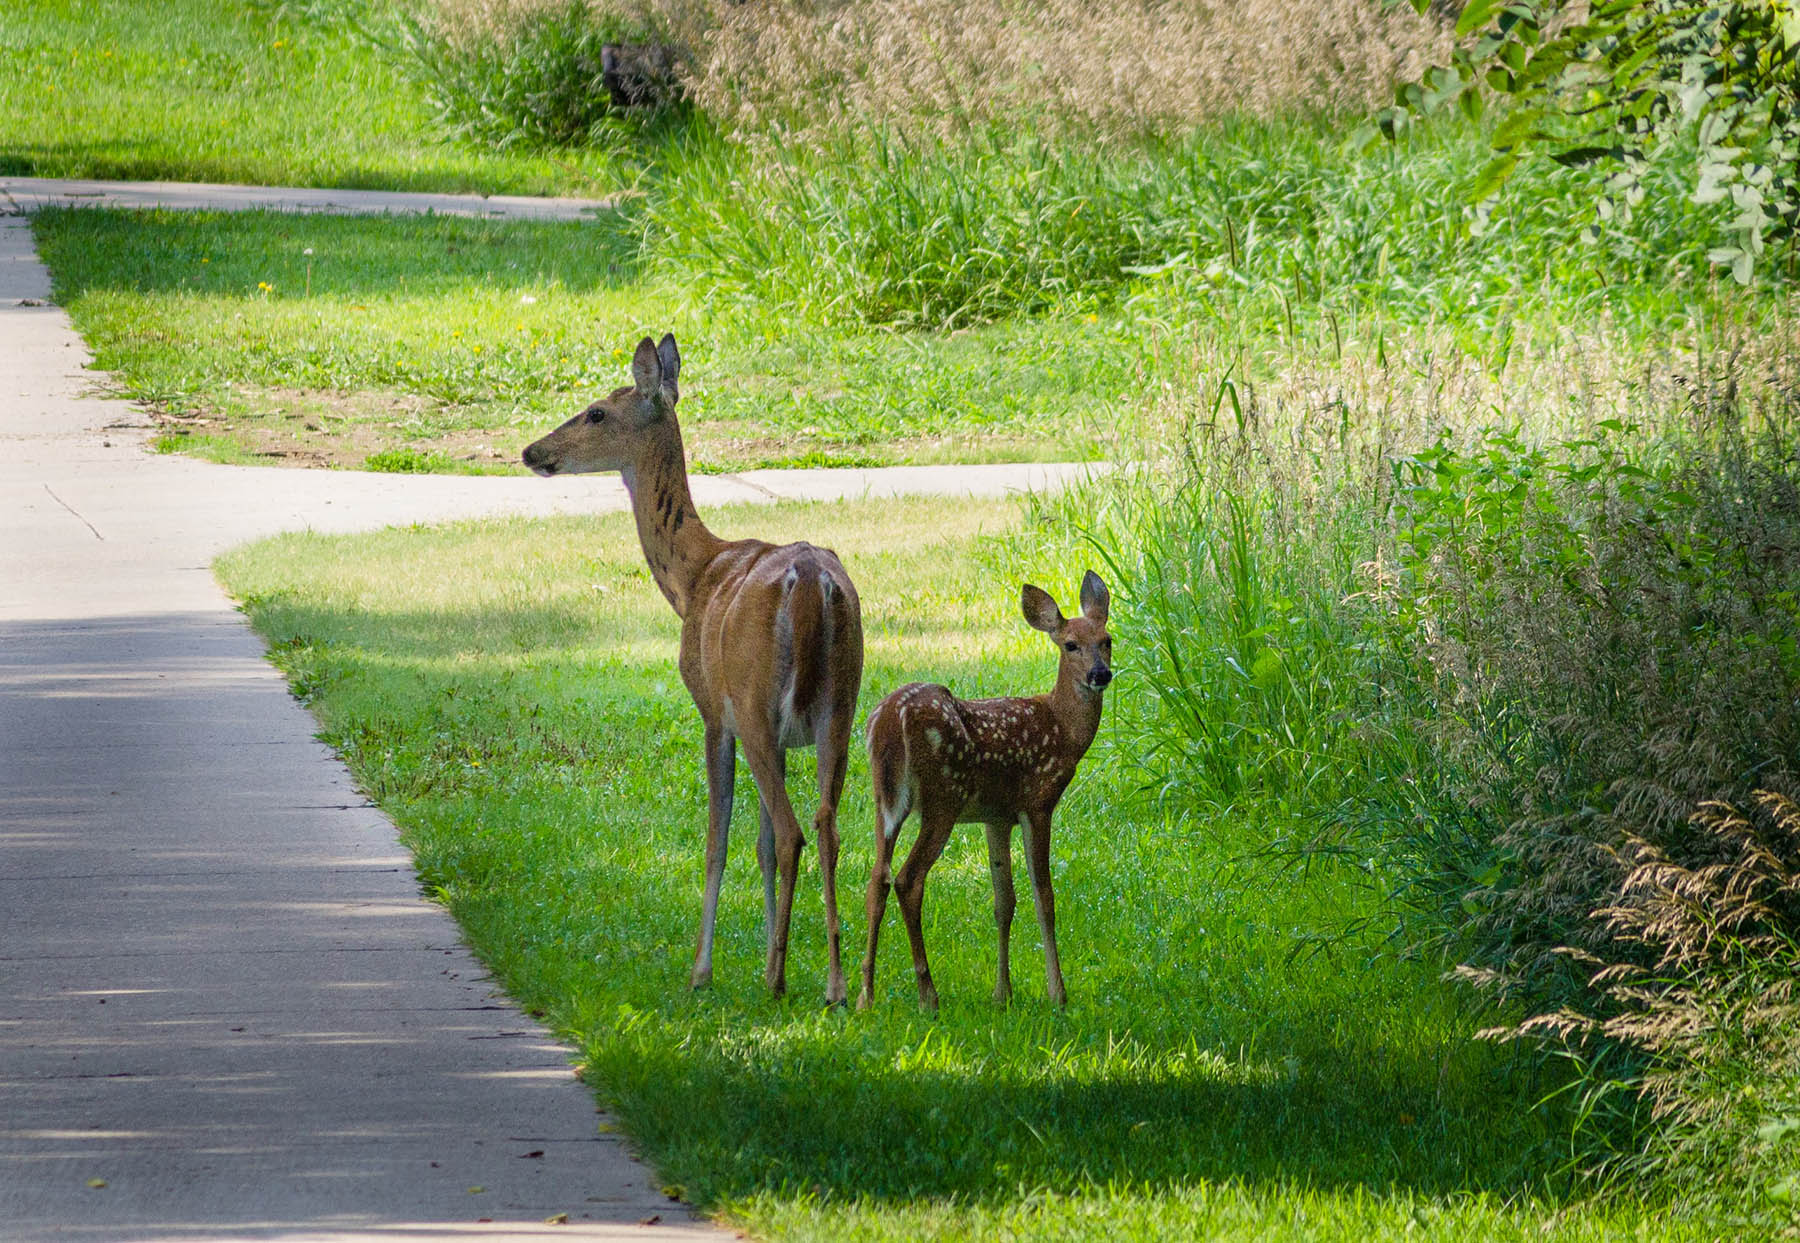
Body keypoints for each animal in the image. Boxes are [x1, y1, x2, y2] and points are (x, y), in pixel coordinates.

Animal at [522, 336, 864, 1007]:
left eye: (597, 412)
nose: (532, 451)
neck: (694, 577)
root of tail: (811, 583)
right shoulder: (789, 732)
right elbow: (758, 844)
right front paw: (766, 954)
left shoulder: (713, 712)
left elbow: (720, 841)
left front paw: (704, 970)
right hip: (842, 706)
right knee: (825, 827)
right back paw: (834, 985)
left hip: (755, 702)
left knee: (793, 830)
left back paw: (780, 981)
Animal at [856, 572, 1108, 1014]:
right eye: (1070, 644)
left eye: (1107, 639)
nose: (1101, 674)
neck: (1062, 729)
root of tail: (888, 720)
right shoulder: (1037, 801)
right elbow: (1044, 899)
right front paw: (1057, 993)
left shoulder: (996, 816)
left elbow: (1003, 902)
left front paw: (1002, 994)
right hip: (943, 799)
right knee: (907, 879)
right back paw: (928, 995)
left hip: (885, 801)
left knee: (877, 879)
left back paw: (863, 996)